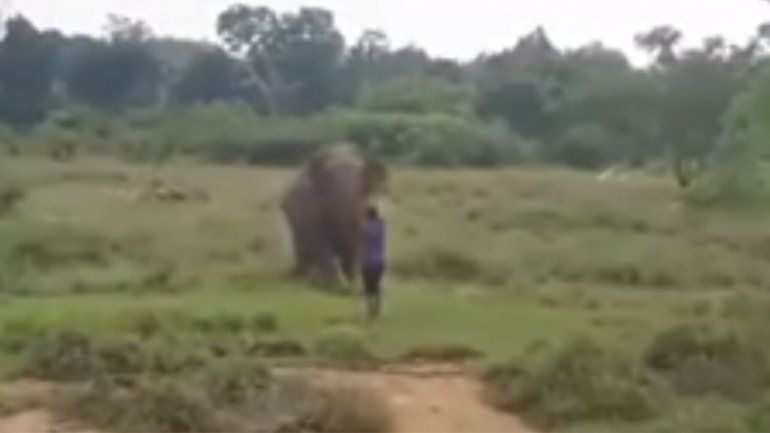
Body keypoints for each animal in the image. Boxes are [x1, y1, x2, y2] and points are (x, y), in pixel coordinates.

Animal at [281, 145, 388, 285]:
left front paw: (353, 282)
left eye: (365, 186)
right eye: (326, 178)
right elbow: (319, 240)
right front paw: (335, 284)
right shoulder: (308, 208)